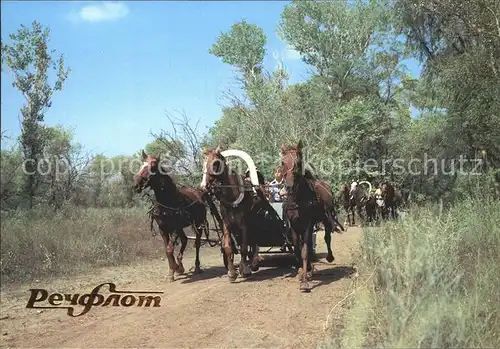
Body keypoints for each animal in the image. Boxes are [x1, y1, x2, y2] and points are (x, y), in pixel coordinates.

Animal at [133, 149, 215, 280]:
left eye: (153, 166)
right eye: (142, 164)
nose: (136, 185)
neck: (168, 201)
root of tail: (199, 192)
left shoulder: (175, 228)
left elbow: (170, 248)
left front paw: (175, 268)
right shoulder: (163, 228)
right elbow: (167, 250)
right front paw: (173, 271)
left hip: (198, 224)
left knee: (197, 244)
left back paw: (196, 267)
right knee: (185, 240)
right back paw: (180, 264)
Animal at [199, 145, 264, 282]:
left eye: (215, 163)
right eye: (203, 163)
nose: (203, 187)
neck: (232, 197)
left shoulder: (244, 225)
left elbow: (244, 248)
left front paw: (244, 269)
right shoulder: (226, 225)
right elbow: (228, 247)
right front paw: (232, 272)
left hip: (254, 222)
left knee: (254, 242)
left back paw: (254, 262)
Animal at [280, 139, 342, 290]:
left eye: (298, 162)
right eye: (283, 162)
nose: (289, 186)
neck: (297, 199)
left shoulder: (308, 225)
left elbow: (305, 250)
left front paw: (304, 281)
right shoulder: (294, 226)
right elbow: (298, 249)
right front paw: (304, 271)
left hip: (325, 219)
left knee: (327, 237)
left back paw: (329, 257)